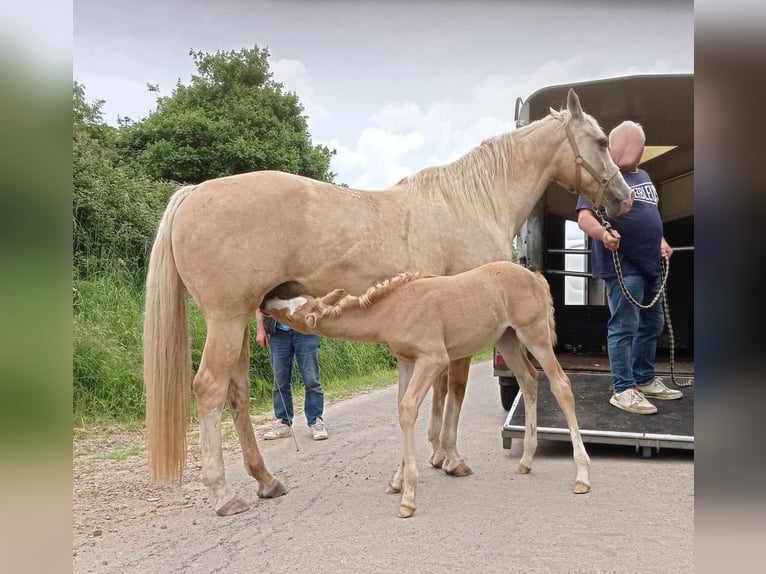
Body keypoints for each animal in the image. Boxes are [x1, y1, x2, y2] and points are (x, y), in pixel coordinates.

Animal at [266, 264, 592, 520]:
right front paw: (397, 480)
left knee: (560, 385)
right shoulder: (406, 361)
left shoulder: (433, 358)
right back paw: (526, 460)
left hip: (534, 334)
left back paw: (582, 476)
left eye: (291, 311)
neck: (392, 311)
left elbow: (408, 408)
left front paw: (408, 497)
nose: (266, 300)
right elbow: (402, 407)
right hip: (507, 339)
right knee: (528, 380)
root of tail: (535, 277)